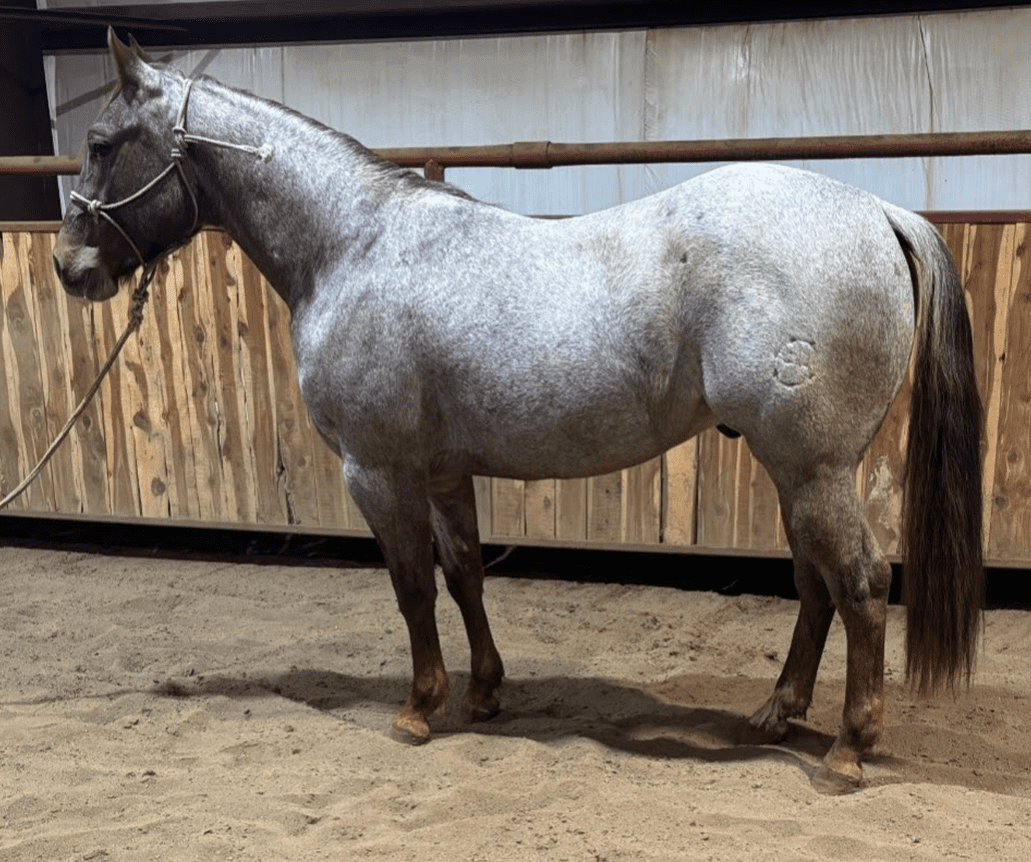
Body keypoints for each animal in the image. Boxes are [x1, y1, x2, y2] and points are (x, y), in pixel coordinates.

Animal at [53, 30, 984, 792]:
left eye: (100, 145)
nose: (69, 267)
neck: (355, 245)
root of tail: (877, 211)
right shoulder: (442, 471)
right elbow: (463, 572)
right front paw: (484, 692)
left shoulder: (377, 472)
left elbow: (411, 587)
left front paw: (418, 707)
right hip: (795, 471)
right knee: (815, 584)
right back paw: (776, 713)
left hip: (814, 467)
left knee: (858, 582)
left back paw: (847, 750)